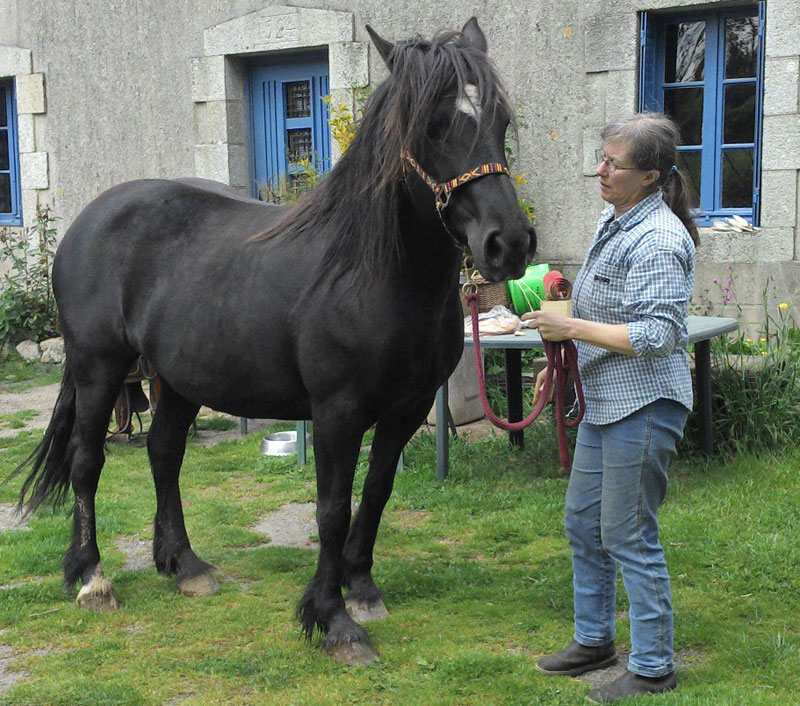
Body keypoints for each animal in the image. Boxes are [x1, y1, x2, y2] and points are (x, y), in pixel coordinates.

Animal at [12, 19, 536, 664]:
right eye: (433, 125)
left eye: (500, 122)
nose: (508, 243)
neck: (371, 273)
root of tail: (86, 221)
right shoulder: (337, 412)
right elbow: (331, 508)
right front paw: (333, 620)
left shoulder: (406, 409)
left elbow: (378, 491)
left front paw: (362, 588)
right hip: (99, 366)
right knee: (87, 460)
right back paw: (92, 577)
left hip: (178, 377)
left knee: (164, 453)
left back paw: (184, 565)